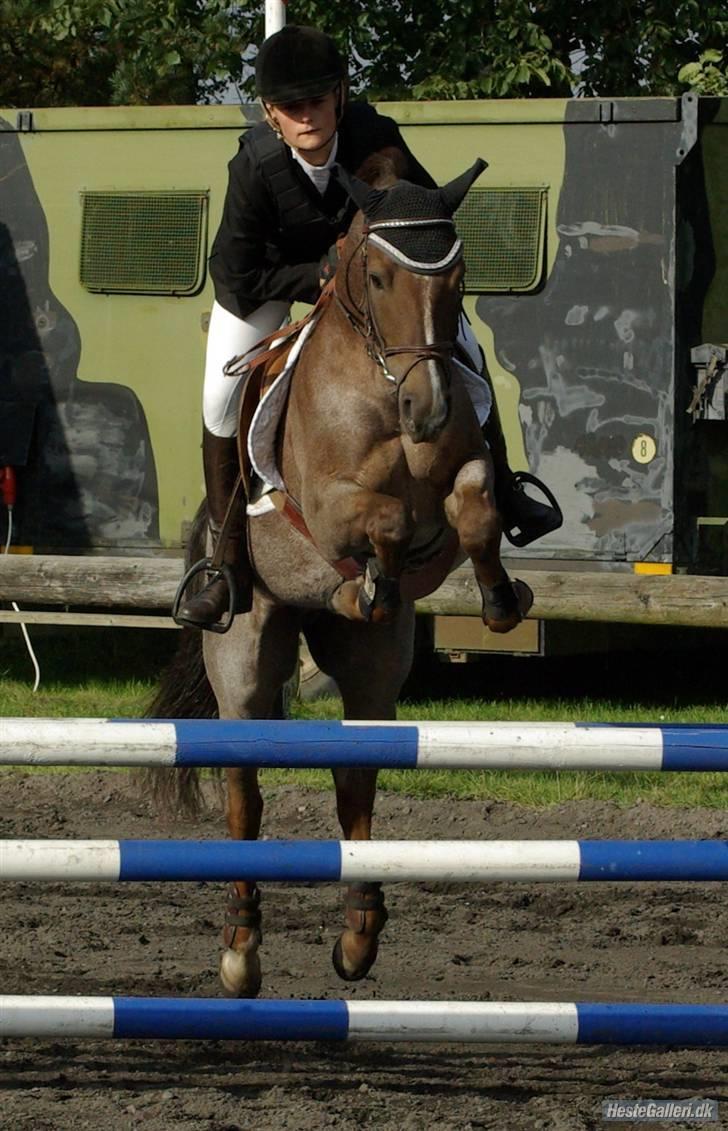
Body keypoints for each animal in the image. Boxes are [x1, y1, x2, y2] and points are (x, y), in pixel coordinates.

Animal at [150, 152, 531, 999]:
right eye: (380, 278)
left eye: (458, 280)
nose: (429, 408)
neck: (385, 387)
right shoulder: (327, 507)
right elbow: (380, 518)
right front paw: (371, 577)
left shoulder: (459, 480)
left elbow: (474, 503)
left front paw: (497, 598)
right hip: (245, 656)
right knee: (245, 798)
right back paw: (241, 948)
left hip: (372, 673)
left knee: (355, 781)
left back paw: (358, 935)